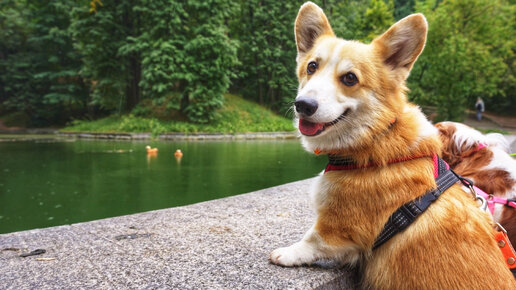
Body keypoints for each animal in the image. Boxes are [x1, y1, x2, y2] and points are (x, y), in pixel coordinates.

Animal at [270, 1, 516, 288]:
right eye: (311, 67)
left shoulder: (339, 227)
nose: (303, 105)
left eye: (350, 78)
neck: (376, 137)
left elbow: (312, 239)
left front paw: (286, 253)